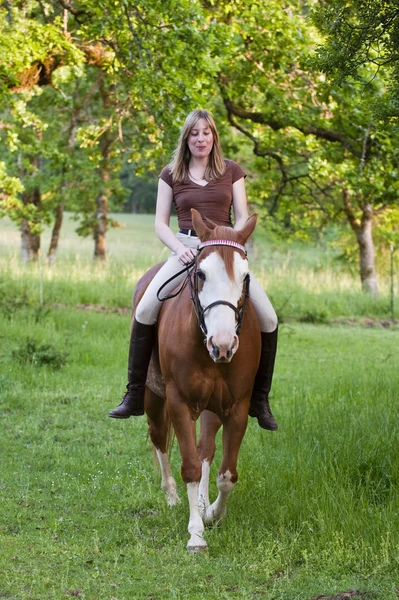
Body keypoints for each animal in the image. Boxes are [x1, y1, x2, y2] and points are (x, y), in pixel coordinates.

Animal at [134, 211, 262, 552]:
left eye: (246, 277)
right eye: (201, 274)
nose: (223, 345)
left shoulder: (236, 407)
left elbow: (227, 473)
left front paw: (213, 513)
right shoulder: (179, 403)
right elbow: (189, 466)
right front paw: (195, 534)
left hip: (211, 407)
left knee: (206, 447)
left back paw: (203, 504)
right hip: (154, 399)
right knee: (159, 437)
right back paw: (171, 496)